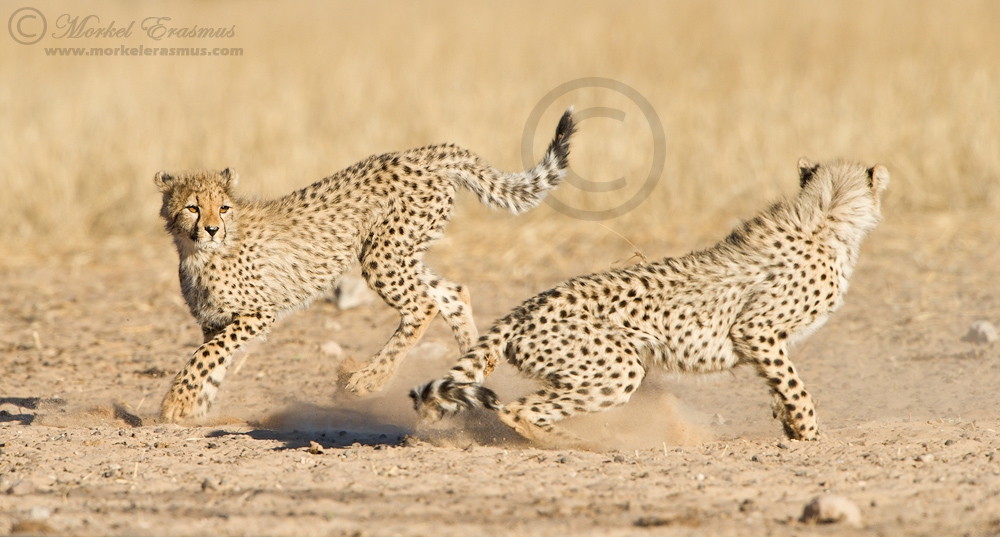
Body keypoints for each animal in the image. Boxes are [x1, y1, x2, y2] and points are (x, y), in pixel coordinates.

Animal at [154, 109, 576, 422]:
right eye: (192, 207)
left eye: (223, 208)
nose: (212, 228)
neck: (197, 253)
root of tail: (422, 153)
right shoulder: (215, 322)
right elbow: (213, 361)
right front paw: (195, 406)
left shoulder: (259, 313)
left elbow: (206, 357)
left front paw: (176, 403)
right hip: (402, 252)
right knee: (452, 293)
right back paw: (475, 366)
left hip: (382, 254)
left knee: (423, 305)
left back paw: (367, 381)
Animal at [411, 159, 889, 445]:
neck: (826, 215)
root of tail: (525, 307)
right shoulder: (757, 330)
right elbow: (794, 385)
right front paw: (809, 432)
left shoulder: (765, 342)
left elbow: (780, 384)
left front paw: (790, 424)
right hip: (618, 366)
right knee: (516, 408)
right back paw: (573, 443)